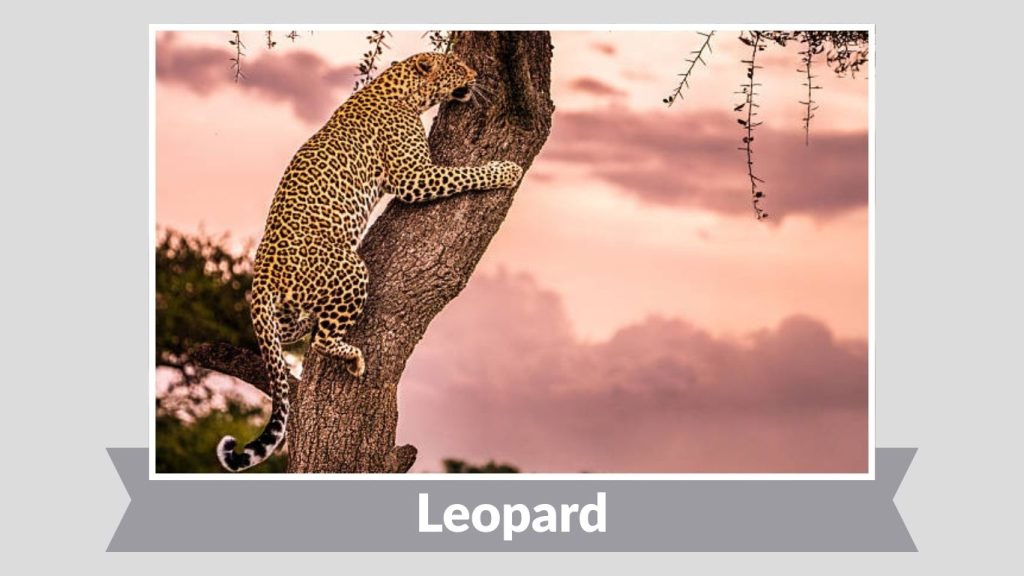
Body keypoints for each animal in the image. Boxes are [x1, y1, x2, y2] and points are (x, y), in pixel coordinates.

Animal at [217, 52, 524, 472]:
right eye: (457, 66)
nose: (476, 73)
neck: (402, 89)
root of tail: (262, 274)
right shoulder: (415, 176)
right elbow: (467, 173)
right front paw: (507, 170)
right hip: (350, 269)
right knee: (323, 340)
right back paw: (353, 358)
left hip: (286, 309)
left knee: (292, 332)